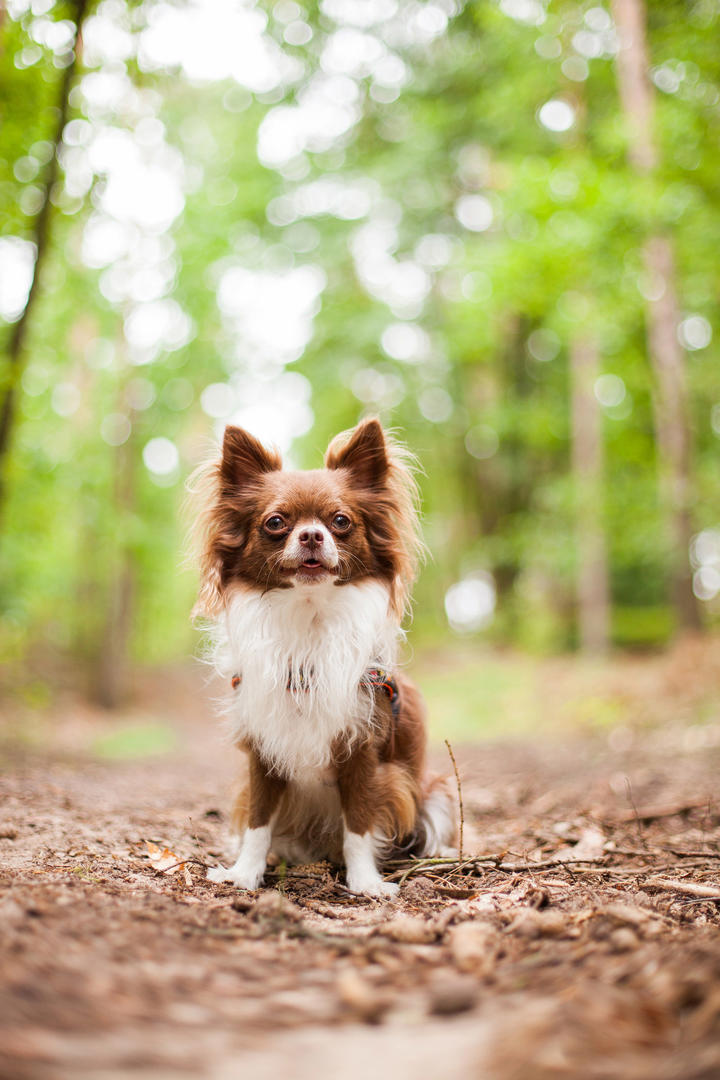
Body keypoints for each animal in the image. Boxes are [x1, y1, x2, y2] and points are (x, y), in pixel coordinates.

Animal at [194, 416, 453, 898]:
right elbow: (258, 822)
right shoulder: (264, 750)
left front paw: (365, 881)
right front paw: (244, 873)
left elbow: (359, 825)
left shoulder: (363, 750)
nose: (313, 535)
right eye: (276, 522)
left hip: (435, 791)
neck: (308, 616)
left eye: (341, 521)